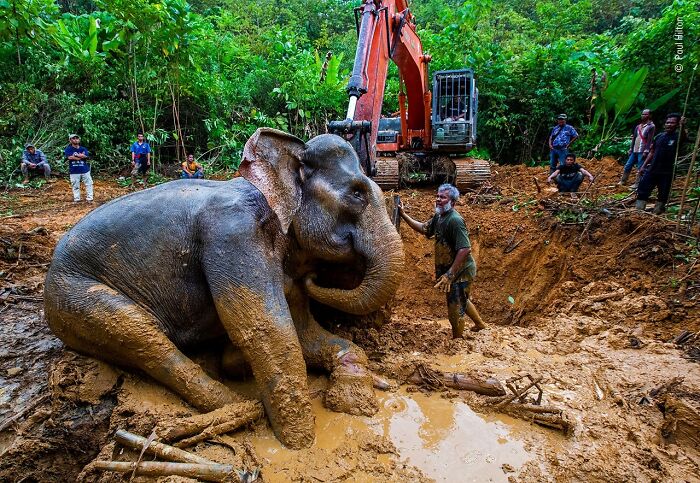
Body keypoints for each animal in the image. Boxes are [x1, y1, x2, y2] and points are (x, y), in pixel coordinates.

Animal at [44, 128, 404, 449]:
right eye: (357, 194)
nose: (315, 278)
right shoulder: (233, 234)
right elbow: (267, 330)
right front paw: (301, 443)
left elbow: (303, 330)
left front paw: (354, 399)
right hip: (73, 296)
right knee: (140, 337)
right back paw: (240, 407)